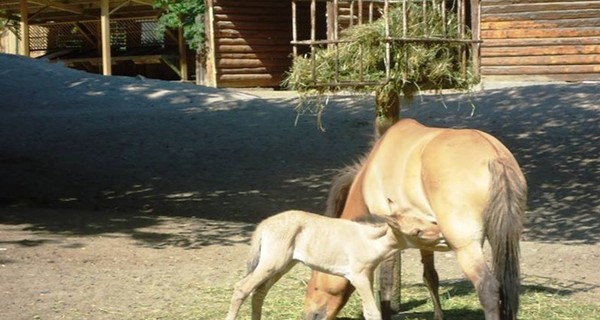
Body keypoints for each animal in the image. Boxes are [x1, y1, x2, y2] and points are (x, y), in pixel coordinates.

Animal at [225, 210, 446, 320]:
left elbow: (368, 310)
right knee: (242, 287)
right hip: (273, 263)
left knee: (259, 291)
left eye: (428, 221)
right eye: (417, 231)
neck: (368, 240)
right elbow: (372, 312)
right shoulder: (357, 276)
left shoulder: (368, 275)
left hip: (283, 265)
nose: (443, 236)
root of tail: (263, 225)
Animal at [304, 118, 524, 320]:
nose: (309, 313)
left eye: (315, 278)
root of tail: (494, 156)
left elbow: (385, 281)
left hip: (466, 247)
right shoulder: (425, 237)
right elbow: (430, 277)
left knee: (488, 288)